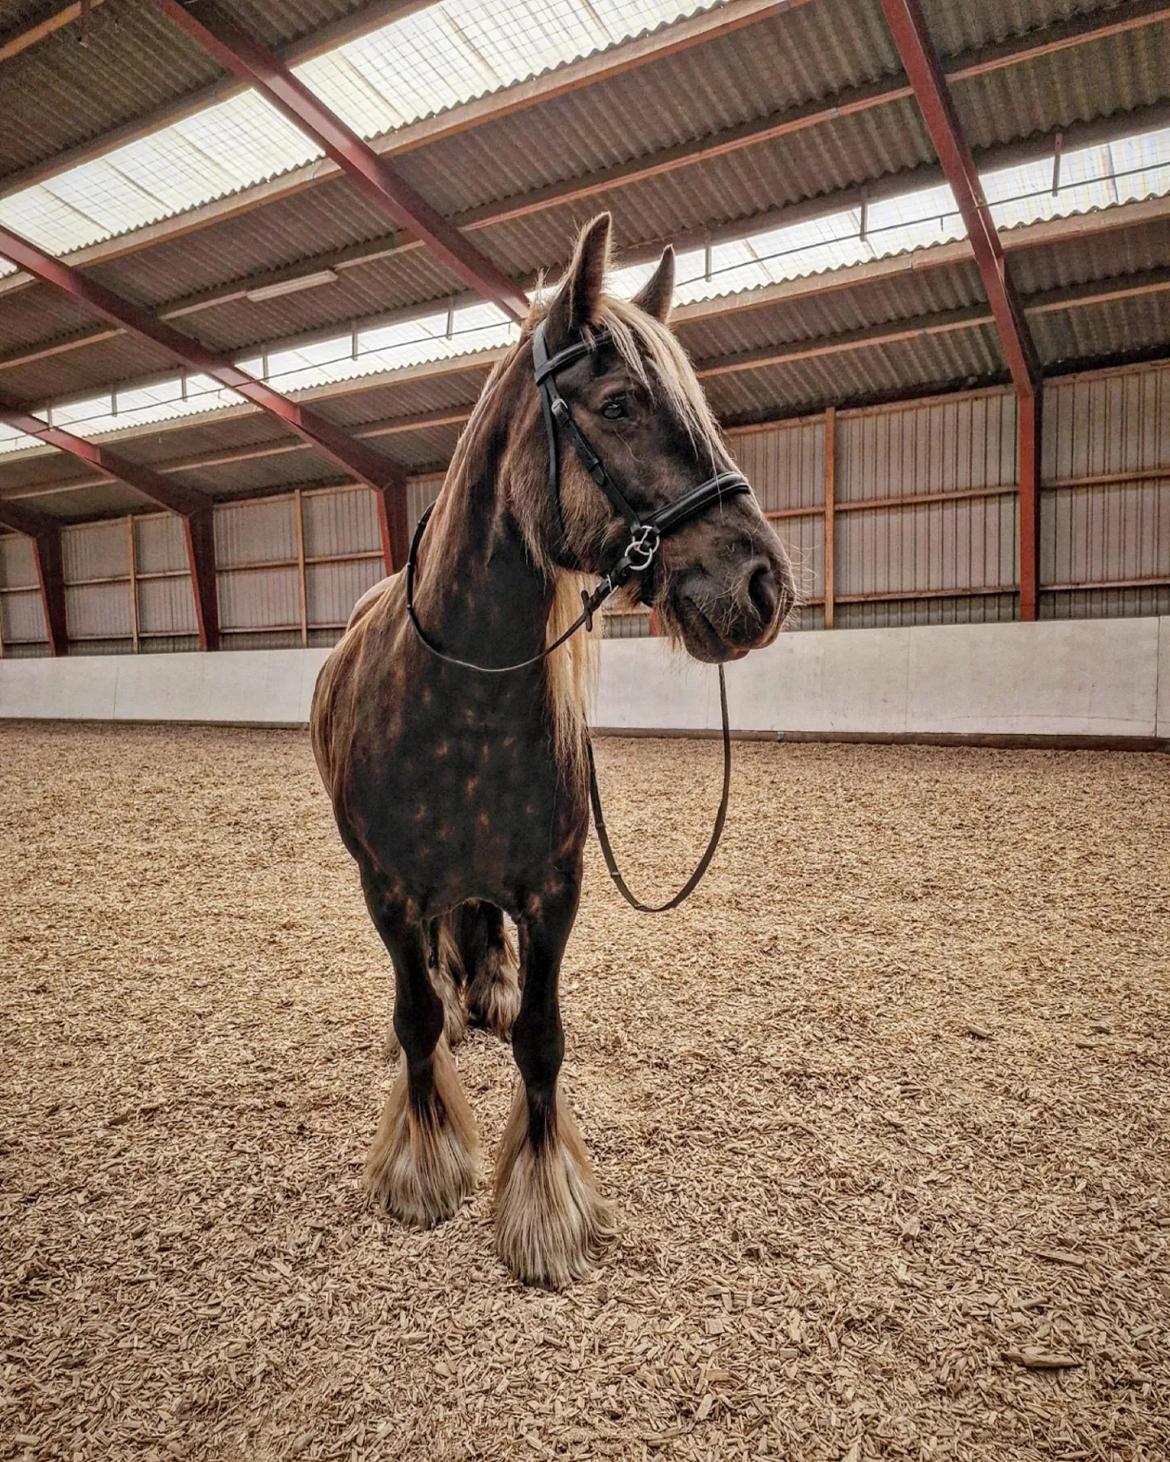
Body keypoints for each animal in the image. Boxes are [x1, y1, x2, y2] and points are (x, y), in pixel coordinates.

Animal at [312, 211, 795, 1286]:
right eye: (618, 403)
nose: (763, 585)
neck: (458, 701)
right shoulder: (383, 892)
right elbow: (413, 1019)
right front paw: (424, 1166)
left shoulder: (554, 890)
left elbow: (540, 1038)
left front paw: (541, 1209)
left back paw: (482, 986)